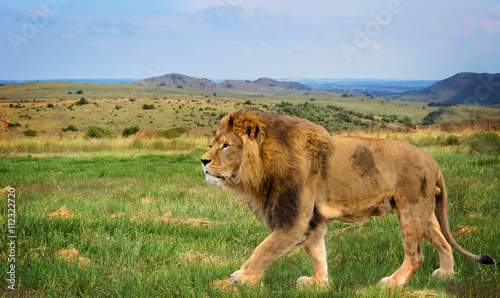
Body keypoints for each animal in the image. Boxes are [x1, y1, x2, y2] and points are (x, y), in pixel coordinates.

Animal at [201, 108, 494, 288]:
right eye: (212, 143)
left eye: (226, 146)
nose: (203, 161)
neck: (261, 168)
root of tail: (434, 162)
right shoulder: (312, 221)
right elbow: (317, 252)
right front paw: (317, 283)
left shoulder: (294, 219)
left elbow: (264, 248)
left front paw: (243, 277)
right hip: (424, 212)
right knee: (443, 241)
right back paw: (446, 274)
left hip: (411, 210)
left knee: (416, 256)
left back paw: (393, 283)